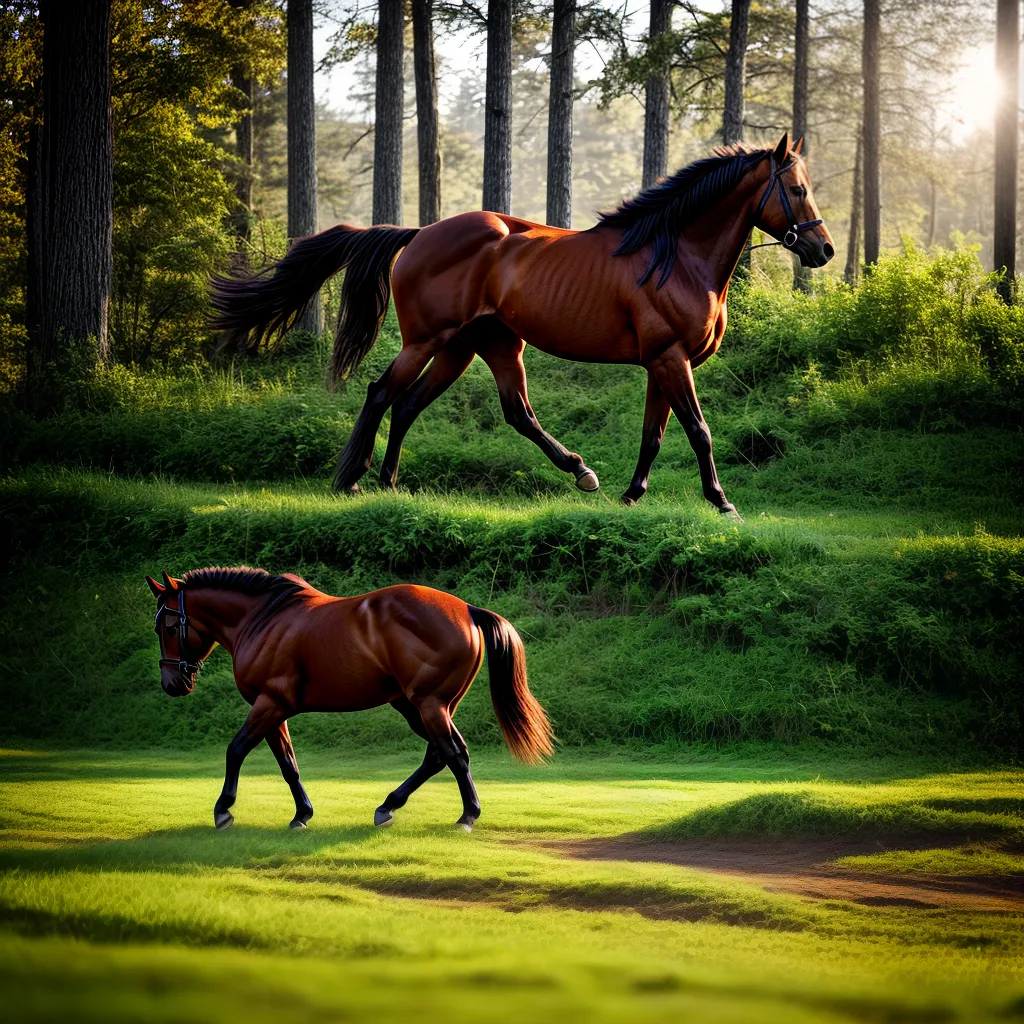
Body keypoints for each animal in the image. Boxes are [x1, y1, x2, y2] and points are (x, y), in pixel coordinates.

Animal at [145, 567, 552, 831]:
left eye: (169, 625)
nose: (172, 682)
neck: (263, 620)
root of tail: (467, 610)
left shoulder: (269, 704)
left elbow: (236, 750)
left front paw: (223, 810)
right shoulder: (275, 710)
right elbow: (288, 765)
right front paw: (301, 814)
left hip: (428, 705)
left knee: (451, 753)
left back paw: (466, 816)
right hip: (417, 706)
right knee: (442, 754)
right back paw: (391, 806)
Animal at [210, 132, 834, 515]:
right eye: (797, 189)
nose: (823, 249)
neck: (674, 255)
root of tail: (420, 234)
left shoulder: (661, 363)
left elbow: (654, 435)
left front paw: (632, 495)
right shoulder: (670, 359)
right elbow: (698, 431)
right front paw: (722, 501)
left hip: (479, 346)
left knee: (458, 407)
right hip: (430, 340)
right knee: (384, 392)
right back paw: (356, 478)